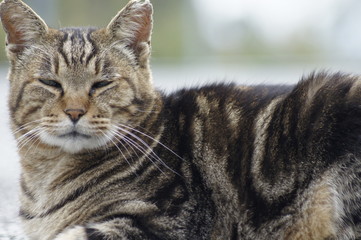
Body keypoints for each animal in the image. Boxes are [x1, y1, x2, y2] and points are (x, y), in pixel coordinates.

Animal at [0, 0, 360, 239]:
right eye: (51, 83)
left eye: (102, 83)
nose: (74, 112)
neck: (47, 177)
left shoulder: (167, 220)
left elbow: (74, 234)